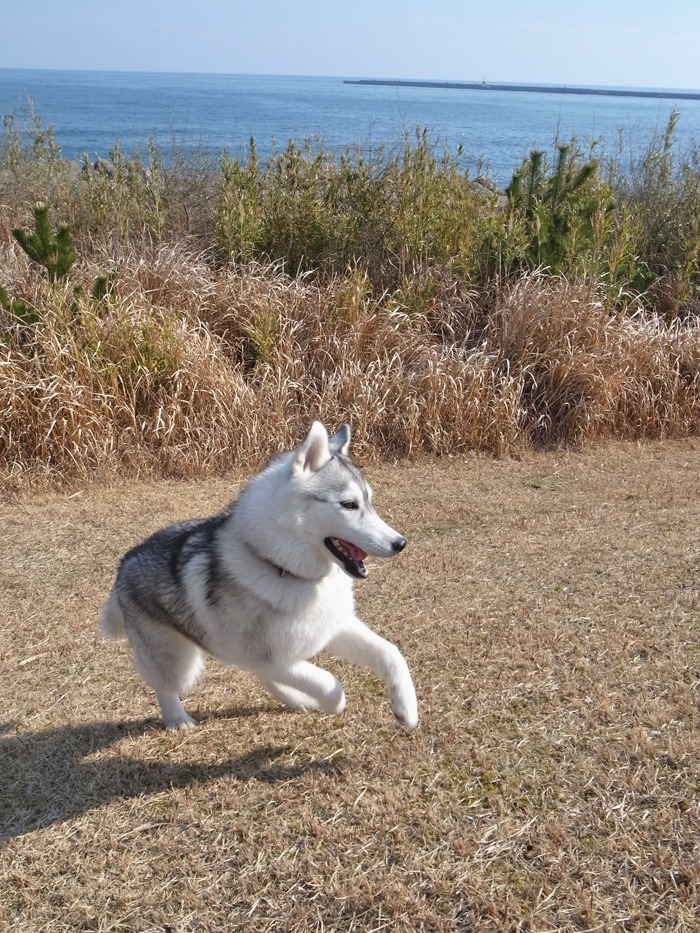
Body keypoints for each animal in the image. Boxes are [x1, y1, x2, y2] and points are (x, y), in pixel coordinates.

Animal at [101, 420, 418, 728]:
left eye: (370, 502)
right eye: (349, 505)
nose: (400, 544)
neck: (282, 568)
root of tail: (126, 560)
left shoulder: (332, 627)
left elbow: (391, 653)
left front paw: (407, 710)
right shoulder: (273, 659)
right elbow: (330, 684)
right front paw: (335, 704)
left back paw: (298, 701)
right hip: (177, 659)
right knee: (165, 687)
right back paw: (178, 720)